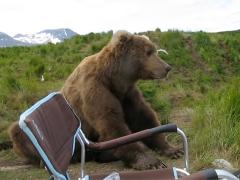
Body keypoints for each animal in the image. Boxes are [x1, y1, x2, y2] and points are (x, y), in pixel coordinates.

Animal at [8, 30, 182, 169]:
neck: (114, 78)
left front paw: (172, 149)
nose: (167, 67)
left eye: (154, 50)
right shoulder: (95, 89)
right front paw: (150, 161)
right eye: (148, 52)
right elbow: (112, 123)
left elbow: (143, 117)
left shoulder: (126, 94)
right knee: (18, 131)